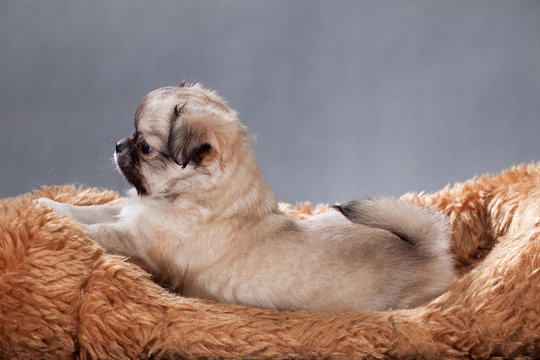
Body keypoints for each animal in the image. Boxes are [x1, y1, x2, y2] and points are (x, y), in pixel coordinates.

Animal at [38, 83, 454, 310]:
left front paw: (56, 218)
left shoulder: (137, 241)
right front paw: (51, 205)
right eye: (131, 138)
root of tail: (424, 249)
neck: (191, 195)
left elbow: (99, 231)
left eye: (144, 147)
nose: (118, 144)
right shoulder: (131, 215)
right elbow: (96, 211)